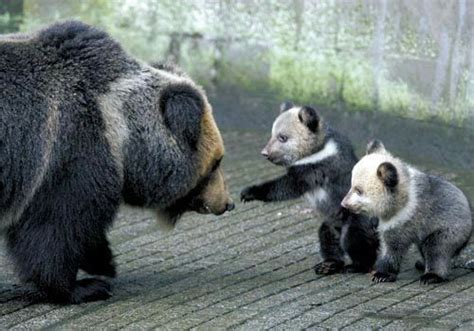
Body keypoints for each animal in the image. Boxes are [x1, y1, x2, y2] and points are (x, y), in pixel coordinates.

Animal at [0, 21, 235, 306]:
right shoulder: (68, 156)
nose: (227, 203)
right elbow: (55, 227)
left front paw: (103, 262)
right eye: (216, 163)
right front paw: (83, 286)